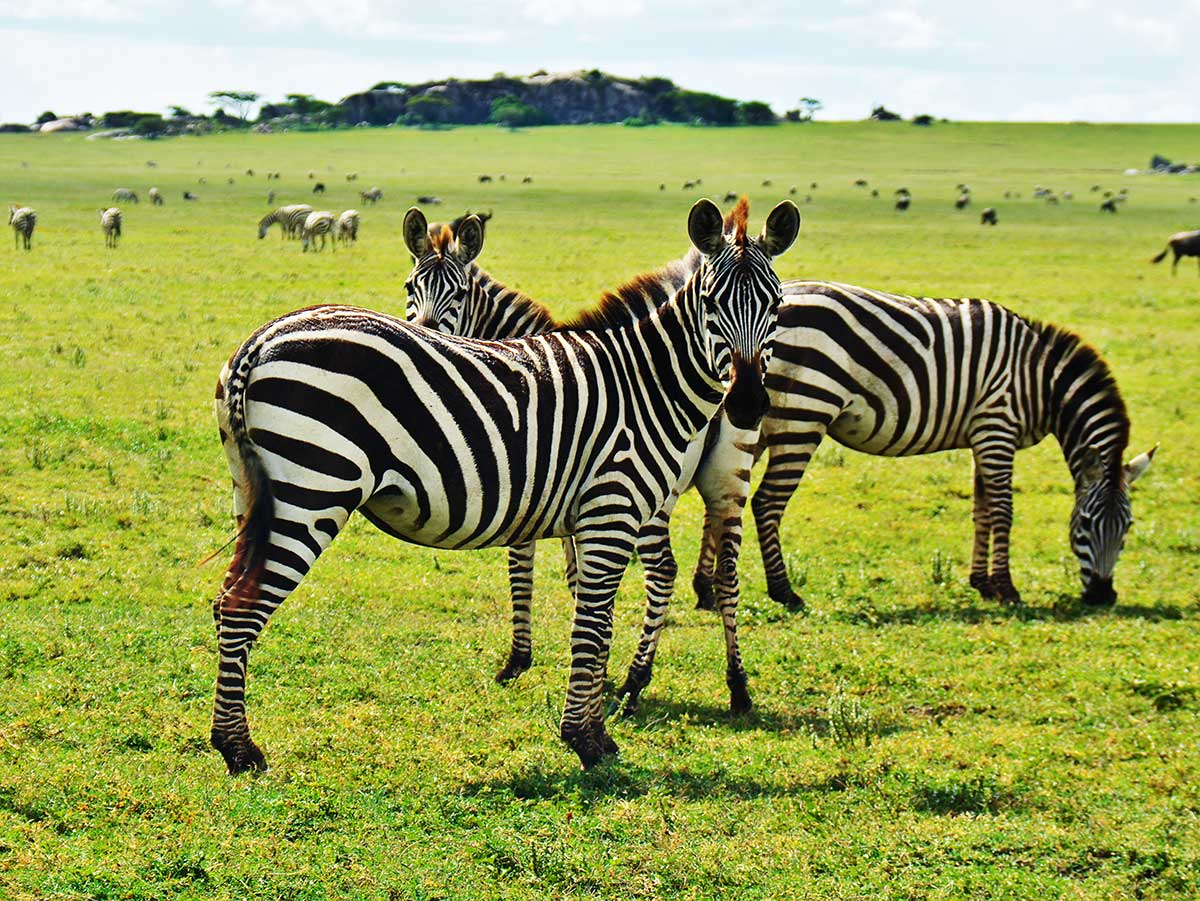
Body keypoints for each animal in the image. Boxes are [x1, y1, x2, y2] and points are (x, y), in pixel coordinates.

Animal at [208, 196, 796, 777]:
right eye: (712, 303)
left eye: (776, 305)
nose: (747, 405)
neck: (647, 384)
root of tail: (261, 341)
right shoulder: (610, 509)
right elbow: (591, 620)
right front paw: (584, 737)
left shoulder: (576, 509)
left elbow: (590, 612)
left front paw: (588, 718)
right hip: (312, 491)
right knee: (241, 604)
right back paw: (238, 749)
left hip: (253, 494)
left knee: (226, 599)